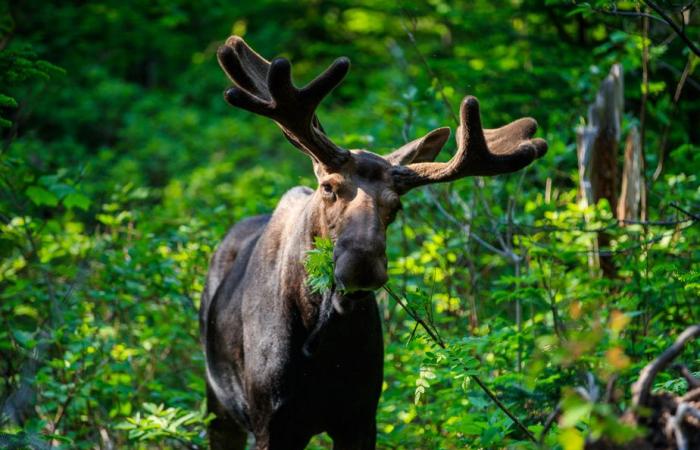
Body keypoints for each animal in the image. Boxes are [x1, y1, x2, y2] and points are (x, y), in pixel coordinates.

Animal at [200, 36, 548, 450]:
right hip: (218, 404)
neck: (323, 338)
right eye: (329, 187)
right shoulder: (272, 422)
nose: (362, 264)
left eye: (395, 205)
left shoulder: (362, 417)